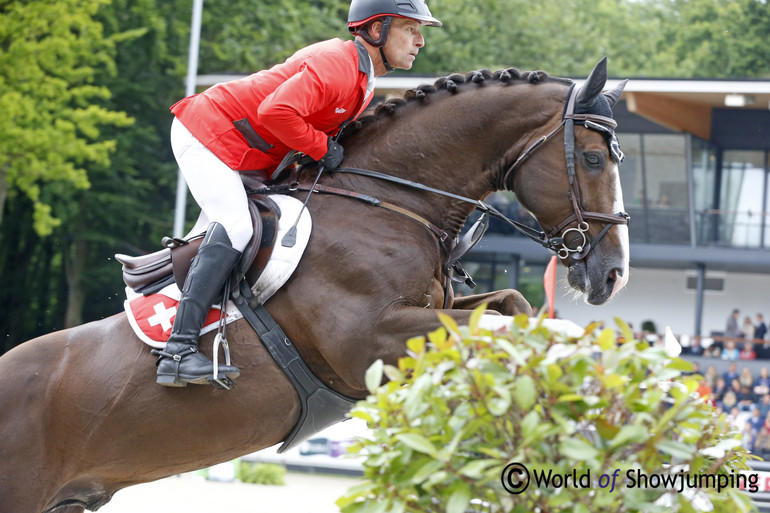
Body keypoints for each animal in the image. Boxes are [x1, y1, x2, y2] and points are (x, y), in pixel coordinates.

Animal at [0, 58, 628, 510]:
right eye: (595, 160)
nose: (613, 274)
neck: (389, 201)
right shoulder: (370, 340)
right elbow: (503, 329)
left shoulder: (432, 311)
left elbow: (512, 310)